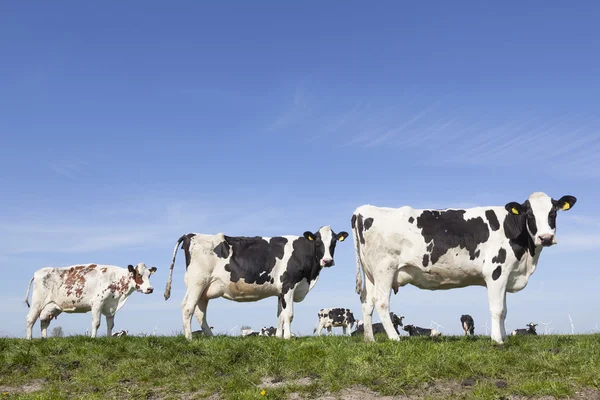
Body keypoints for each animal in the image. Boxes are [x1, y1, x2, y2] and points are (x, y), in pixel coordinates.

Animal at [25, 264, 157, 340]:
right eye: (139, 274)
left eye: (149, 275)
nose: (150, 289)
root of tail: (38, 272)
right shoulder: (97, 302)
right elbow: (96, 323)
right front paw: (93, 338)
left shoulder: (111, 306)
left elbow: (110, 324)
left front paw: (109, 339)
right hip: (37, 302)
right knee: (30, 319)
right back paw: (29, 339)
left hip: (50, 307)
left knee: (44, 322)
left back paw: (44, 339)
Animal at [164, 227, 350, 340]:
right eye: (318, 242)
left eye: (334, 242)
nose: (327, 261)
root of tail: (190, 234)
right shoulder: (288, 285)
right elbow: (289, 314)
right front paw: (288, 337)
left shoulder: (280, 291)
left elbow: (280, 315)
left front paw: (279, 337)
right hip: (197, 282)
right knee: (188, 308)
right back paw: (189, 338)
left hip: (204, 288)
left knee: (199, 312)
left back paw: (210, 337)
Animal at [352, 191, 576, 344]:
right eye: (529, 215)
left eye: (553, 213)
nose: (546, 238)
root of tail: (363, 210)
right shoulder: (496, 272)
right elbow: (497, 309)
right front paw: (497, 340)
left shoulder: (506, 275)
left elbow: (504, 311)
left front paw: (503, 336)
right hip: (385, 270)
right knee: (382, 303)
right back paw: (394, 338)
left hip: (372, 275)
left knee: (367, 303)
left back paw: (370, 339)